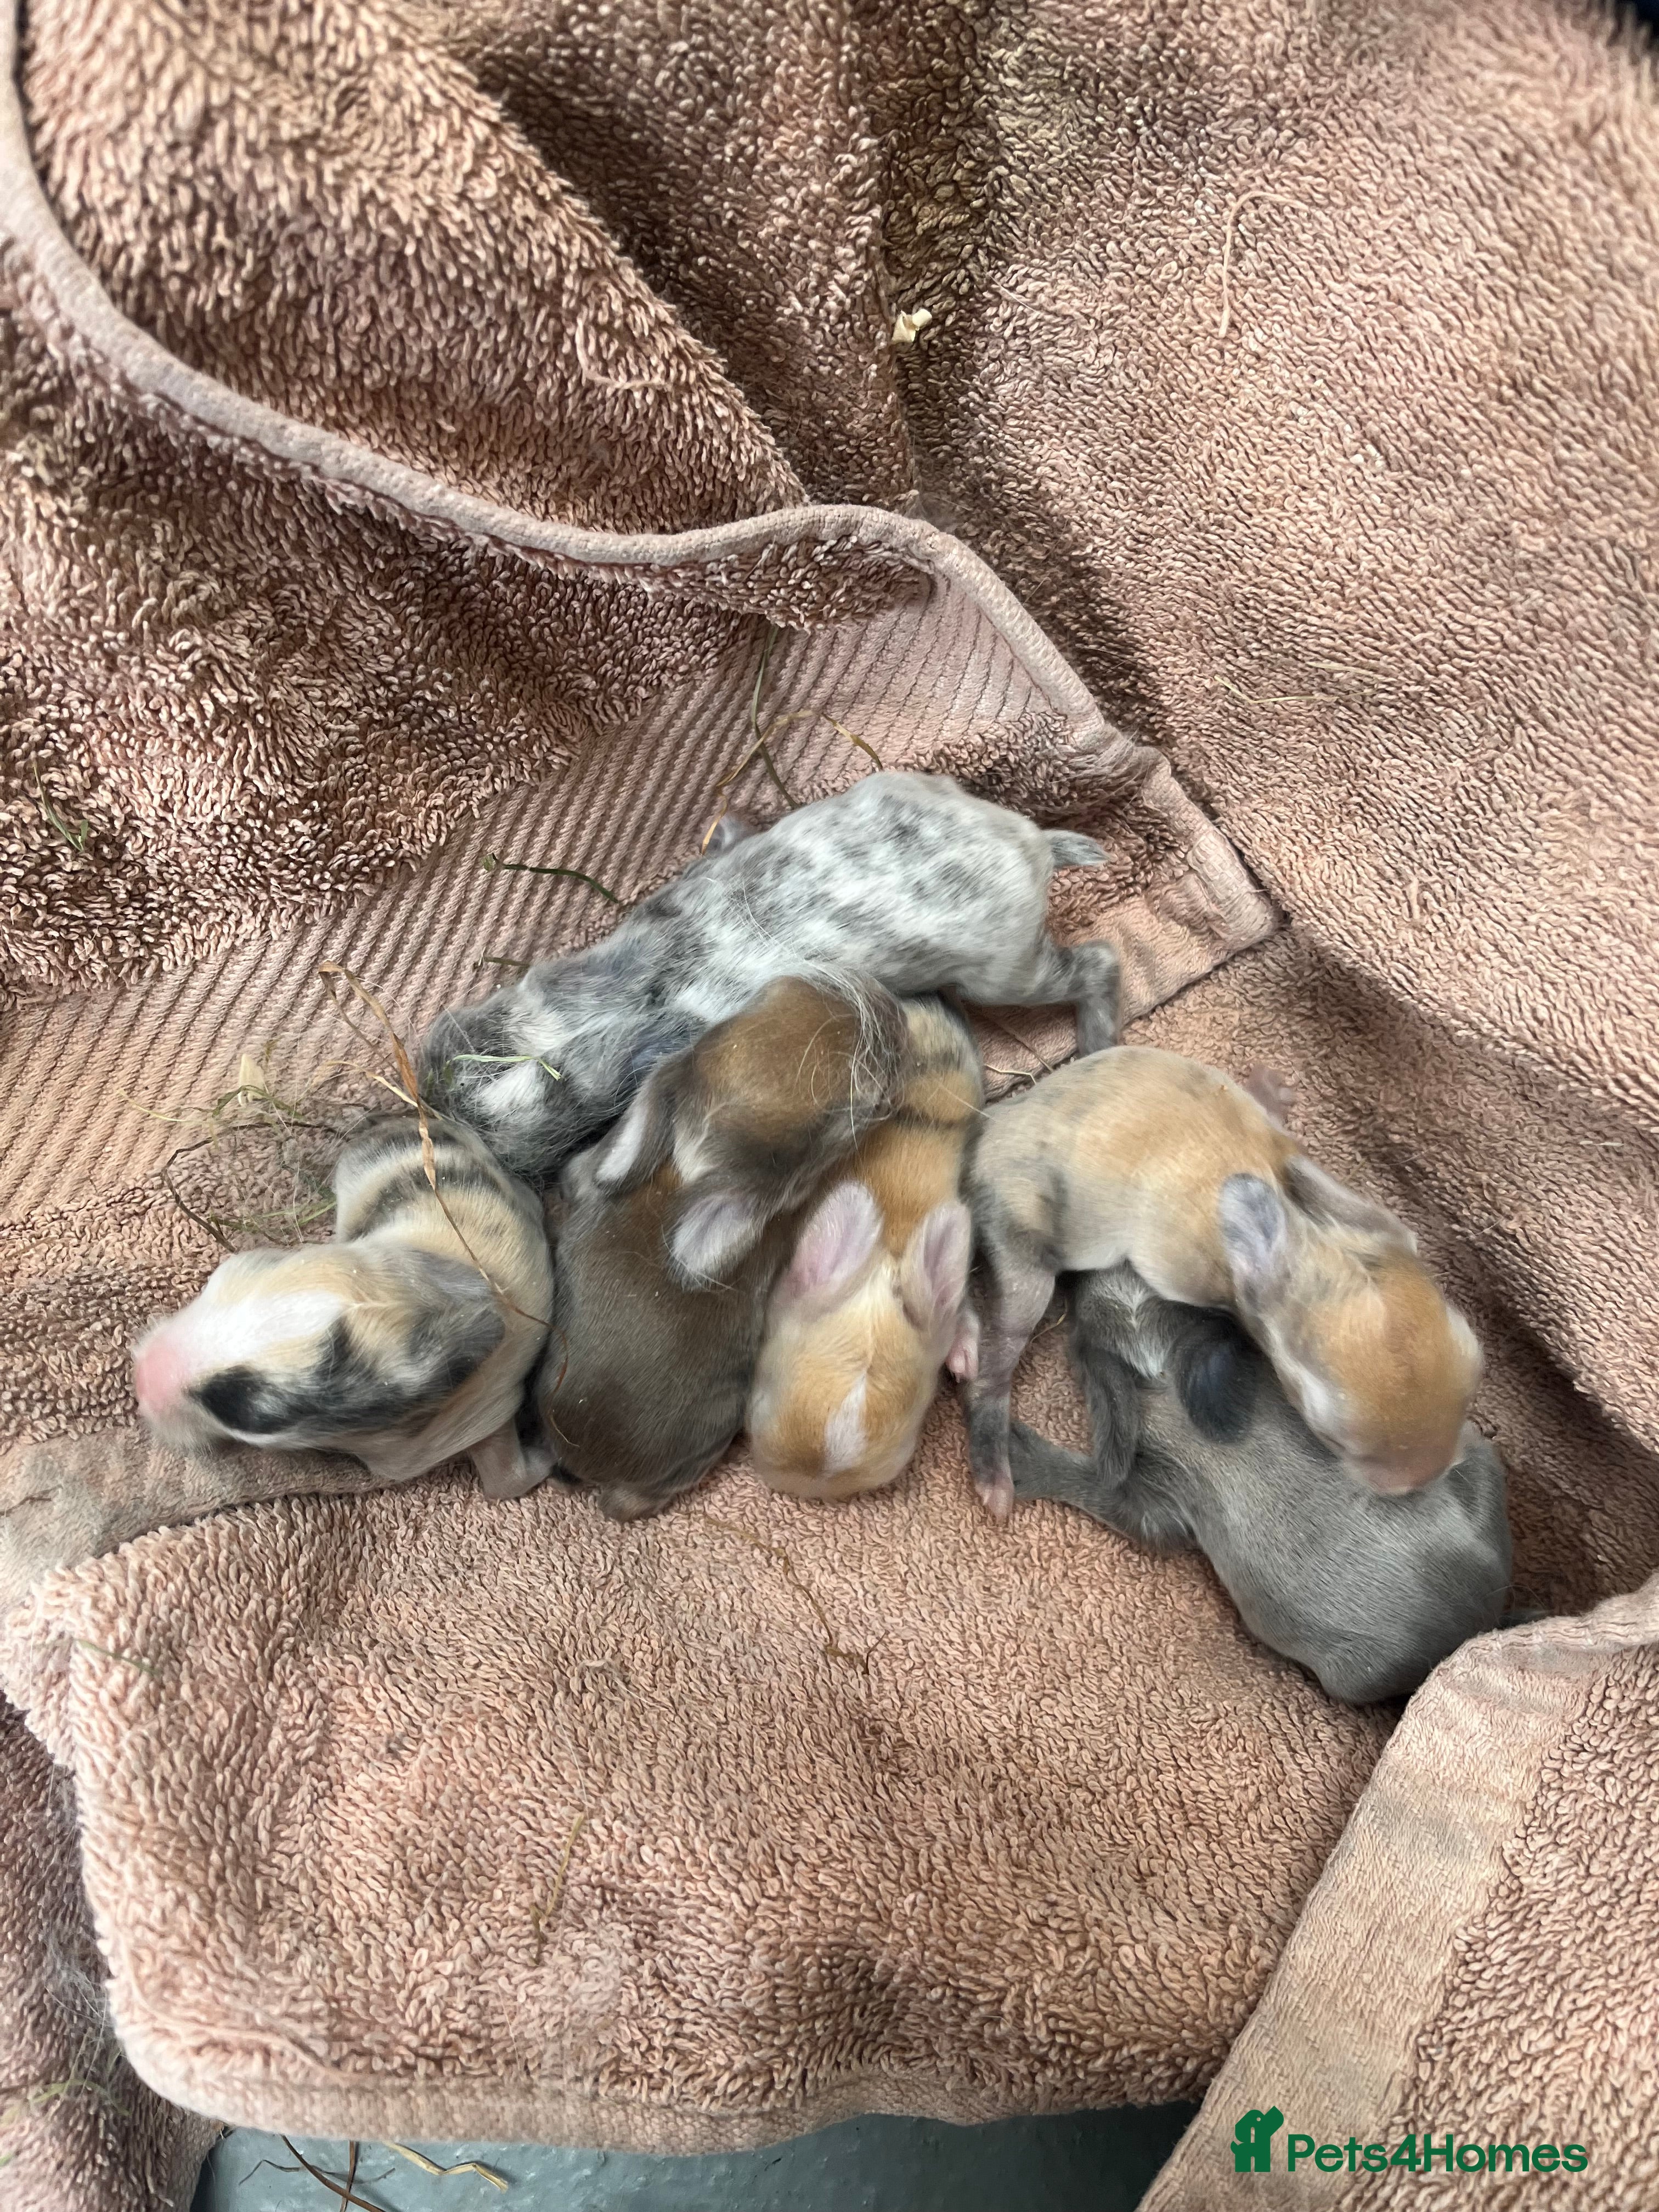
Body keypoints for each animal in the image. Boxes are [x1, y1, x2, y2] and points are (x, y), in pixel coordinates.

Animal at [420, 771, 1119, 1179]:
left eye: (569, 1131)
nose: (427, 1086)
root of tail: (1035, 844)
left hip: (1007, 973)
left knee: (1098, 963)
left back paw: (1099, 1042)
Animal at [964, 1047, 1482, 1516]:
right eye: (1330, 1435)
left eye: (1477, 1367)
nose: (1425, 1479)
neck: (1305, 1232)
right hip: (1025, 1258)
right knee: (994, 1364)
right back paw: (994, 1476)